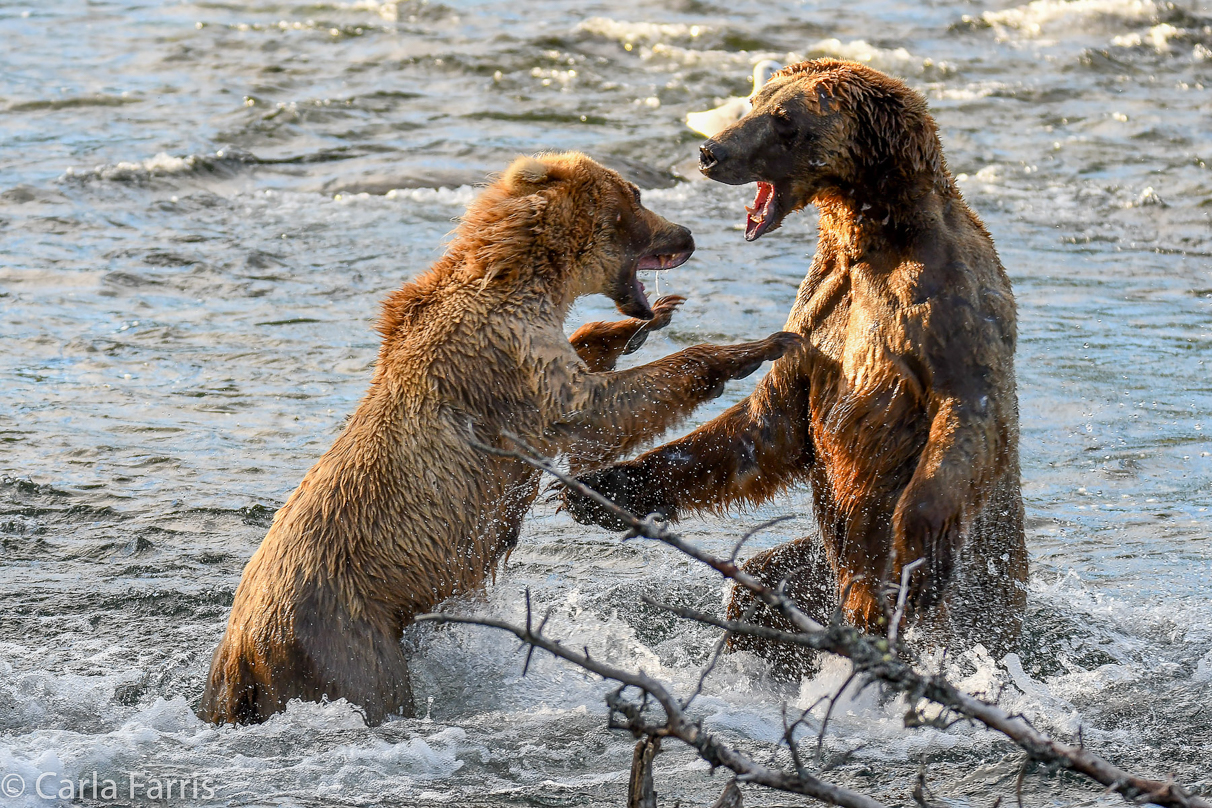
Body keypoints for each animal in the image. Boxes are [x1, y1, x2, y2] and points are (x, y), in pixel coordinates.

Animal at [201, 153, 804, 726]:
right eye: (636, 196)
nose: (686, 235)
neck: (526, 276)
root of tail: (237, 661)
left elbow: (587, 361)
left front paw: (637, 326)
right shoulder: (507, 359)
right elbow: (598, 412)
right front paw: (752, 347)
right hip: (342, 638)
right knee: (373, 690)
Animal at [562, 61, 1027, 668]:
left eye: (784, 119)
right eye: (755, 101)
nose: (711, 151)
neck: (871, 237)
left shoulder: (942, 302)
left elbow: (969, 408)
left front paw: (920, 543)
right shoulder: (820, 309)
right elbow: (768, 425)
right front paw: (601, 487)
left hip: (967, 586)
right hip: (814, 566)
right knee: (762, 585)